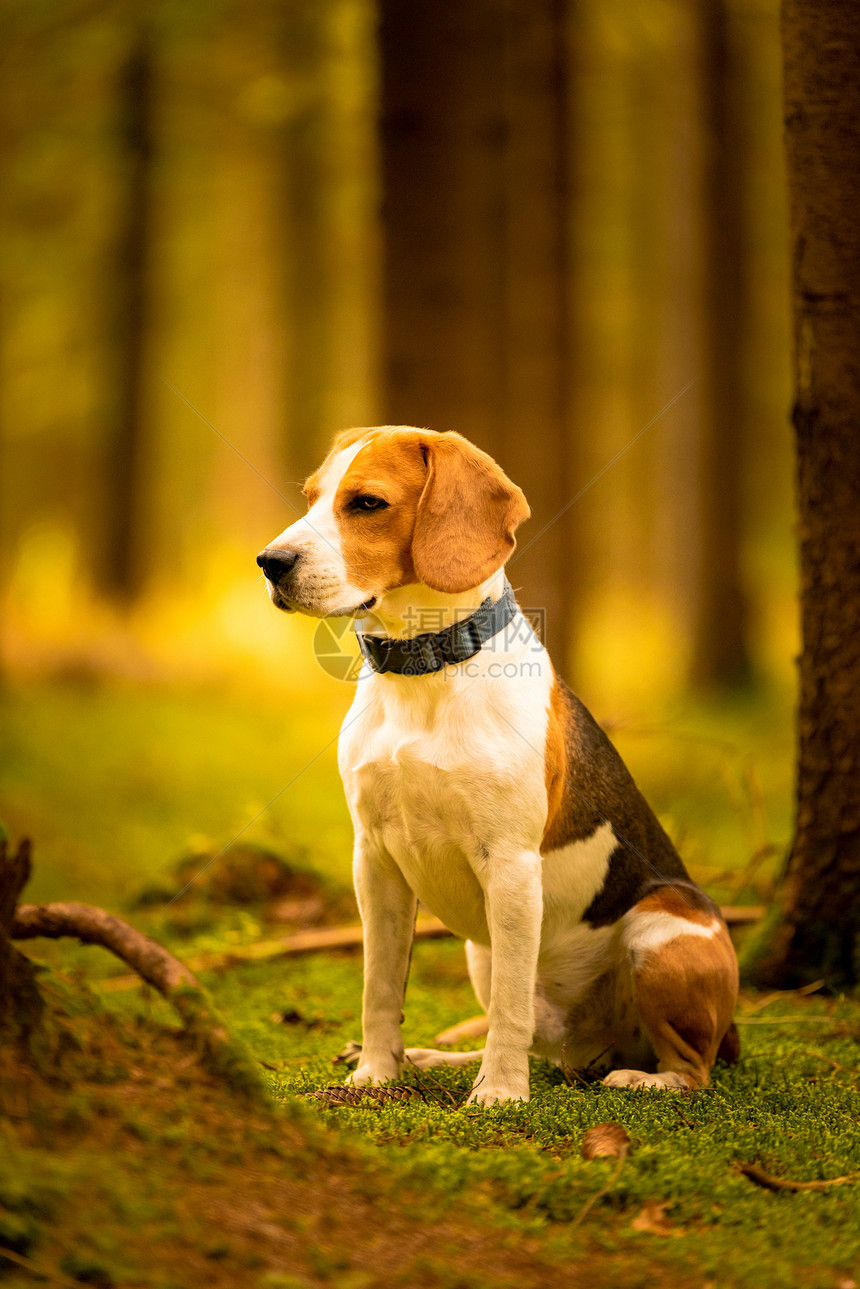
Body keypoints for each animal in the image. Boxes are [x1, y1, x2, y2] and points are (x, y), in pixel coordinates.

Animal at [255, 427, 742, 1103]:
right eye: (310, 497)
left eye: (367, 503)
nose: (269, 562)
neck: (425, 671)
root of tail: (591, 1046)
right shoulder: (374, 861)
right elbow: (380, 986)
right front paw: (376, 1073)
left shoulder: (510, 868)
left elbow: (510, 1008)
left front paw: (501, 1095)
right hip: (479, 951)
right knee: (538, 1040)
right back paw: (434, 1058)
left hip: (661, 929)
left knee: (692, 1066)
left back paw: (642, 1080)